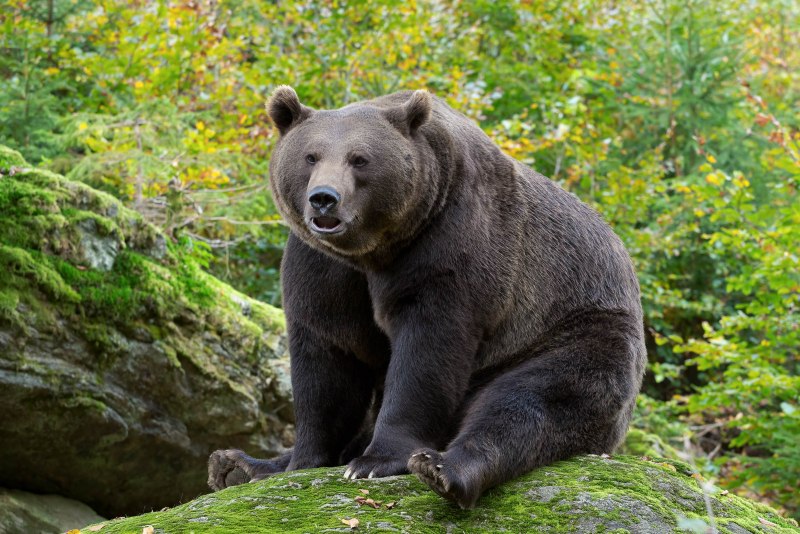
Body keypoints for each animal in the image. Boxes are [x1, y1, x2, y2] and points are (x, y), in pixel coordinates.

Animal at [207, 86, 646, 509]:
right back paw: (237, 464)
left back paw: (443, 468)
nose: (324, 198)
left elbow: (428, 349)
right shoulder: (324, 269)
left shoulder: (451, 242)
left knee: (530, 401)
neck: (374, 250)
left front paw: (375, 461)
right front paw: (301, 460)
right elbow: (328, 356)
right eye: (310, 156)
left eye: (360, 159)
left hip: (573, 330)